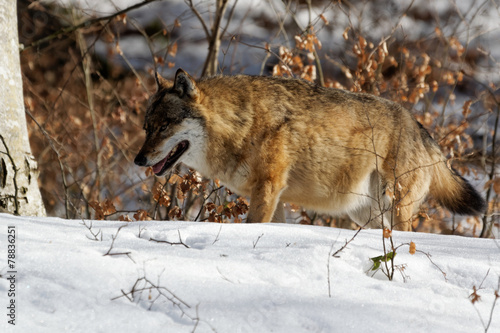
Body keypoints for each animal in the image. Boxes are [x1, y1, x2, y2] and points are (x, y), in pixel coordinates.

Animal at [134, 68, 484, 230]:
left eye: (165, 126)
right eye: (147, 127)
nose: (138, 159)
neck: (240, 123)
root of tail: (420, 126)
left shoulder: (268, 188)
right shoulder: (275, 197)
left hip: (395, 206)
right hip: (366, 213)